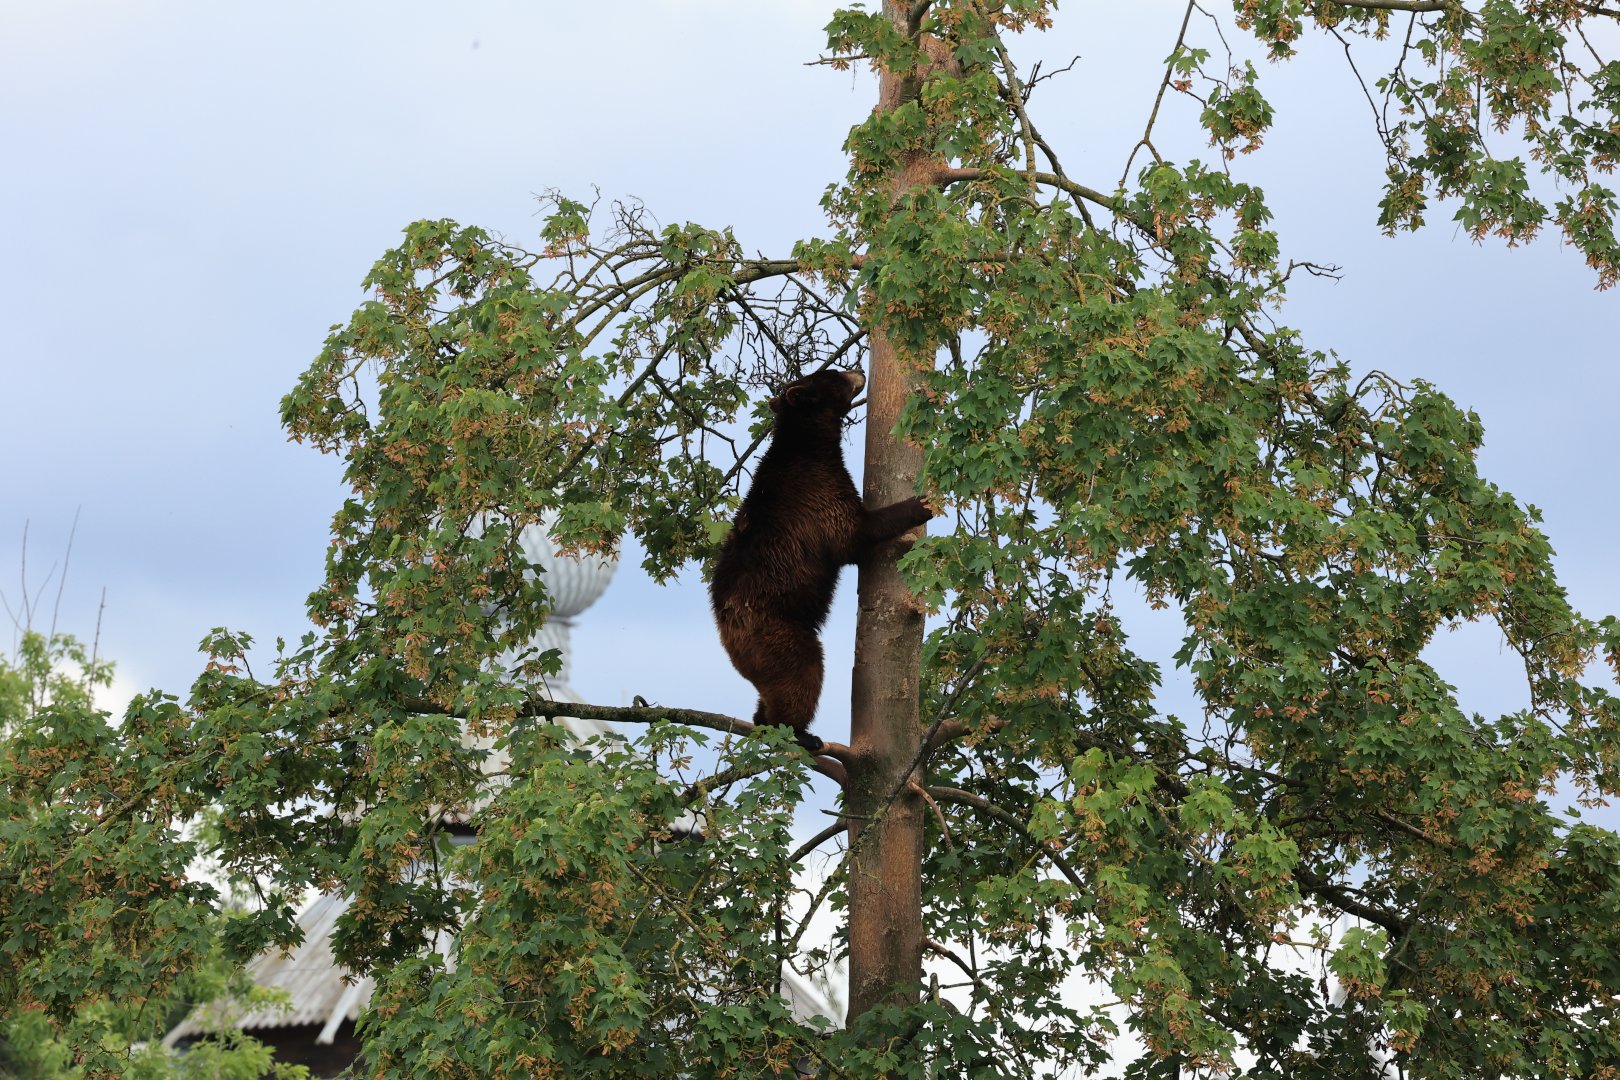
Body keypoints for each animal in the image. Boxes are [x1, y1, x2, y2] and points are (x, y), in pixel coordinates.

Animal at [709, 367, 935, 754]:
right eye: (832, 375)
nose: (858, 371)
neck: (809, 445)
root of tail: (726, 632)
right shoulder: (816, 496)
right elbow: (854, 533)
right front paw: (920, 504)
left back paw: (763, 720)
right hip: (778, 633)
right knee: (803, 674)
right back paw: (800, 732)